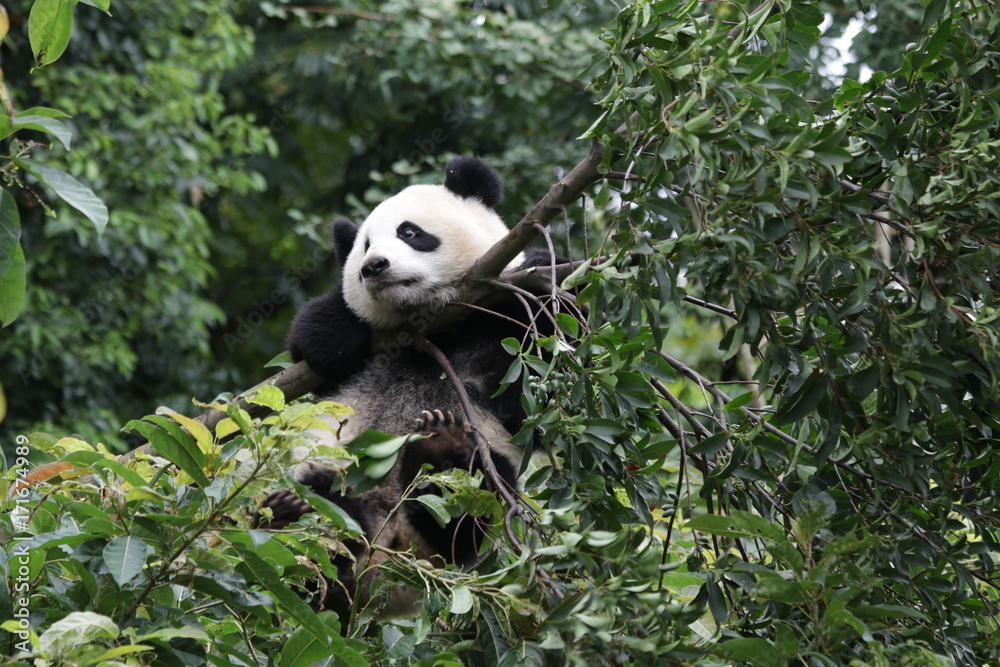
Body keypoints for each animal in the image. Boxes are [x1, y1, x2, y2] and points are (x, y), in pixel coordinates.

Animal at [261, 156, 551, 616]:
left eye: (410, 232)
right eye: (363, 246)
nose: (374, 267)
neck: (433, 326)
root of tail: (388, 559)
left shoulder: (500, 327)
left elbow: (535, 398)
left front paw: (536, 265)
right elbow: (312, 344)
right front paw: (335, 333)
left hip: (473, 504)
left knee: (475, 498)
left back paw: (441, 448)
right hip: (328, 471)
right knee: (323, 494)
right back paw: (298, 516)